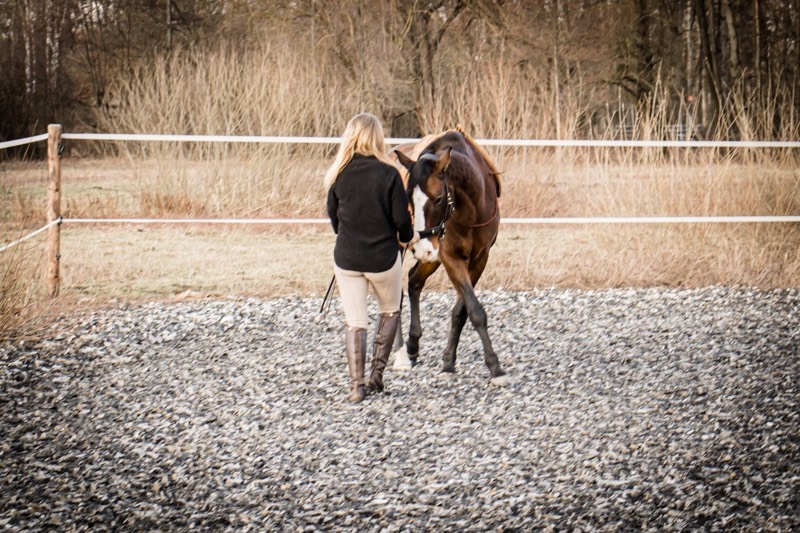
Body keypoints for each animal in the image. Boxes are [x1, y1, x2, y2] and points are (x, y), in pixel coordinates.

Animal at [390, 129, 512, 386]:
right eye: (408, 198)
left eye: (437, 199)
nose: (422, 247)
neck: (470, 208)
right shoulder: (451, 258)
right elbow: (475, 311)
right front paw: (495, 366)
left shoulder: (478, 259)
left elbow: (462, 312)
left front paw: (449, 362)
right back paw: (400, 354)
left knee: (414, 280)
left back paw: (412, 345)